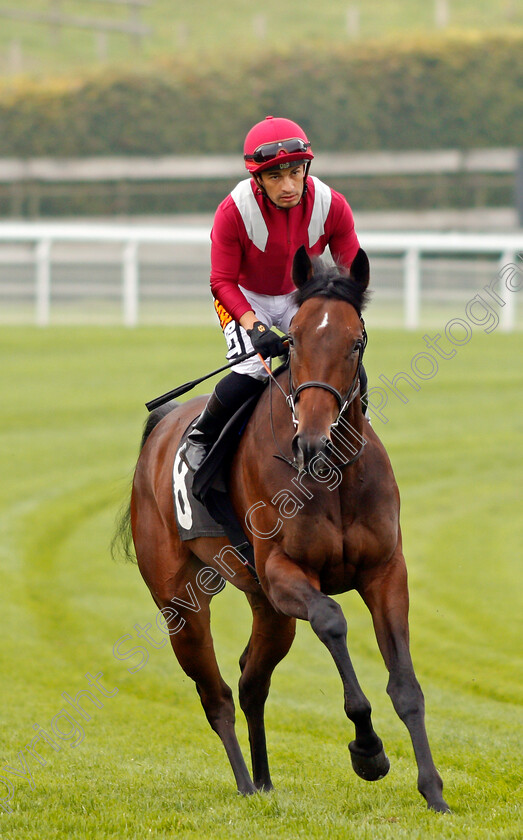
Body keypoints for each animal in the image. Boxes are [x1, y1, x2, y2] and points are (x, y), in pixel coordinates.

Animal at [123, 246, 450, 812]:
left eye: (356, 341)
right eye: (292, 339)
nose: (312, 441)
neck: (331, 476)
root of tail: (162, 428)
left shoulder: (386, 571)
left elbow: (406, 685)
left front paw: (433, 792)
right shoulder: (283, 571)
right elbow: (332, 620)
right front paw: (368, 750)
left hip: (269, 611)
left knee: (250, 681)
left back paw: (264, 780)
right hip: (180, 604)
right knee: (216, 695)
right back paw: (244, 783)